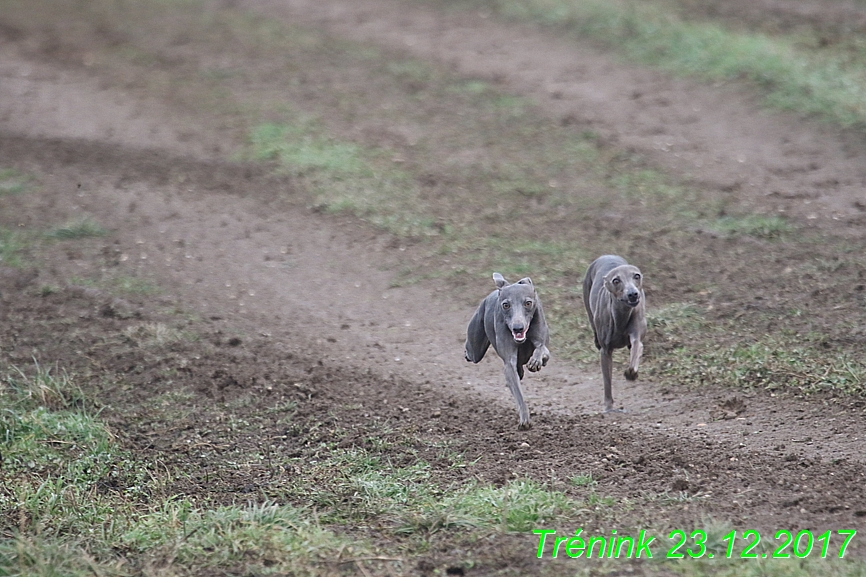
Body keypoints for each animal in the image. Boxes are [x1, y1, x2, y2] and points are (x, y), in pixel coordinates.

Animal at [462, 274, 552, 428]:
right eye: (506, 305)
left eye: (528, 303)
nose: (517, 328)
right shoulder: (509, 362)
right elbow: (516, 388)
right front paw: (524, 417)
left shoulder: (540, 337)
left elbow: (543, 350)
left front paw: (536, 361)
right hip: (475, 347)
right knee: (472, 352)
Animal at [584, 254, 644, 412]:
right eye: (616, 280)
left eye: (636, 276)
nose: (633, 294)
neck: (621, 316)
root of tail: (606, 256)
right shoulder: (606, 350)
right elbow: (607, 380)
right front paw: (609, 406)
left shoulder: (636, 334)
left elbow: (637, 347)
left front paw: (631, 373)